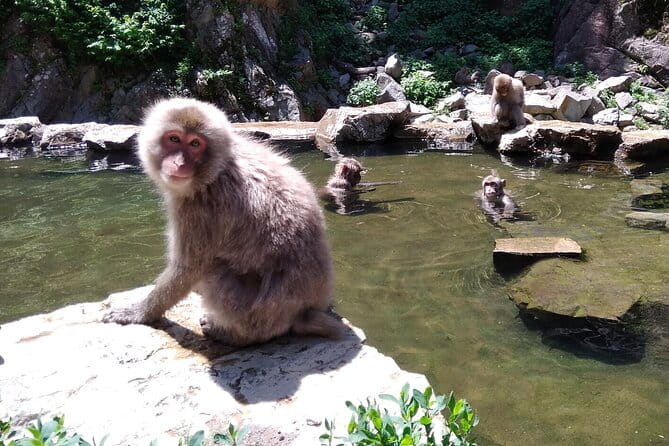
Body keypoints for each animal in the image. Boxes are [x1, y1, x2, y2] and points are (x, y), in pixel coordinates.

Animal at [102, 98, 345, 346]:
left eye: (195, 144)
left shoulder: (199, 210)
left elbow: (188, 269)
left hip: (255, 314)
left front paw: (140, 312)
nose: (179, 163)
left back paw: (235, 335)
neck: (215, 171)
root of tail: (301, 313)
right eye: (174, 139)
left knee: (213, 269)